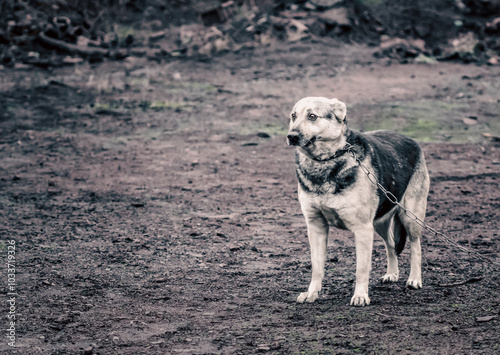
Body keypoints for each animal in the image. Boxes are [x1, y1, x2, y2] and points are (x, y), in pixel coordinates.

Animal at [288, 96, 432, 306]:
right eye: (293, 116)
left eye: (312, 116)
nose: (291, 136)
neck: (325, 161)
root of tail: (411, 140)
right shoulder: (316, 226)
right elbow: (317, 266)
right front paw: (312, 293)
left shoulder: (362, 229)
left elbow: (361, 268)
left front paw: (361, 295)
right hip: (379, 221)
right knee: (391, 244)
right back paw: (392, 274)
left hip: (409, 217)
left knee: (416, 246)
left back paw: (414, 279)